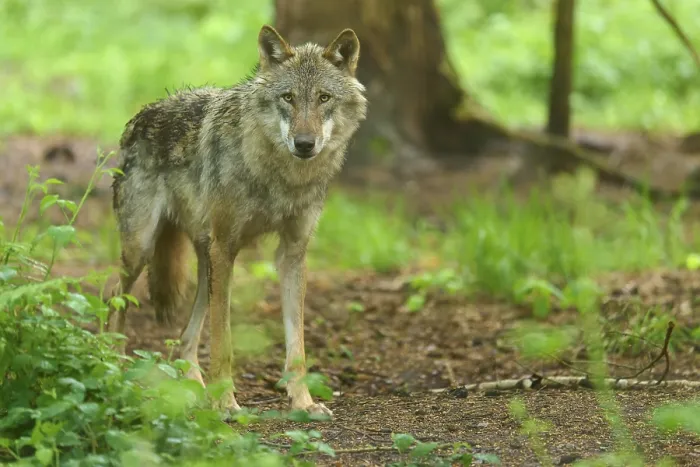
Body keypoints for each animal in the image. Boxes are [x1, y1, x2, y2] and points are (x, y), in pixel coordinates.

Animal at [107, 24, 367, 417]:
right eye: (288, 97)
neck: (281, 178)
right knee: (113, 300)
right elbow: (223, 342)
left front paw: (303, 402)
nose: (304, 143)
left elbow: (297, 346)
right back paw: (114, 364)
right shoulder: (226, 247)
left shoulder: (292, 253)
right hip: (144, 248)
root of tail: (141, 115)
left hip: (204, 261)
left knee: (185, 338)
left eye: (323, 97)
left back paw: (194, 389)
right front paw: (226, 403)